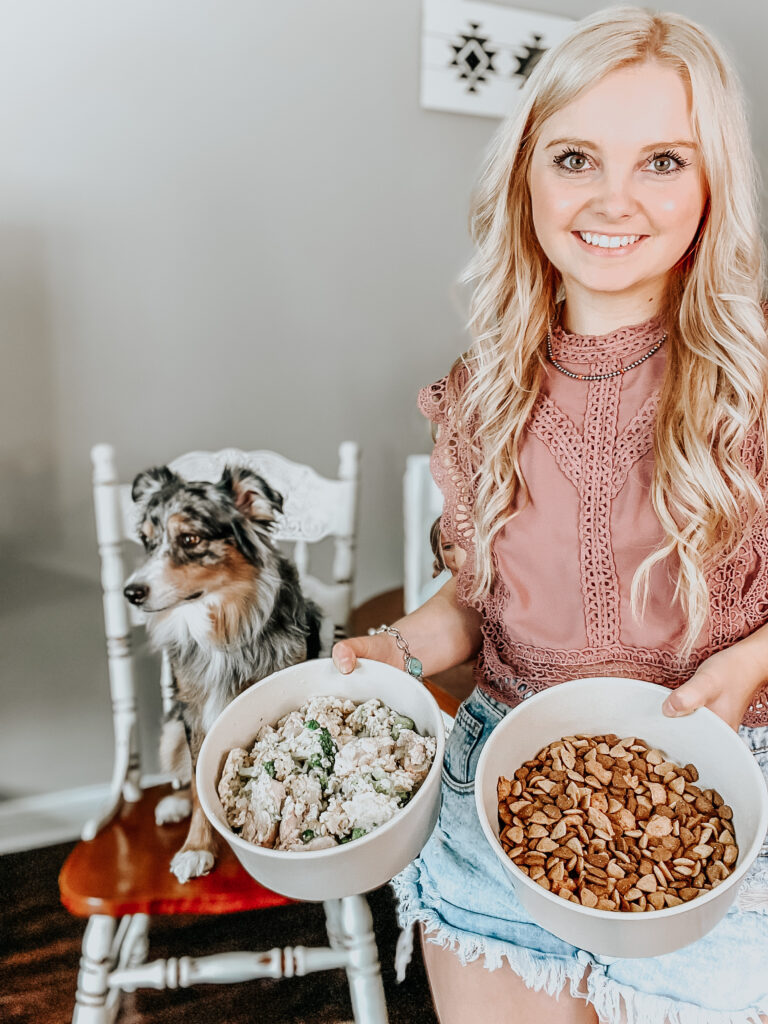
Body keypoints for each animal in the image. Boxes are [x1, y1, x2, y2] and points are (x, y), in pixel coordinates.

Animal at [123, 462, 321, 880]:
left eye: (190, 537)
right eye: (146, 540)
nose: (130, 592)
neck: (224, 622)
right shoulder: (195, 710)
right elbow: (200, 787)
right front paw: (196, 847)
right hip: (171, 728)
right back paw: (174, 803)